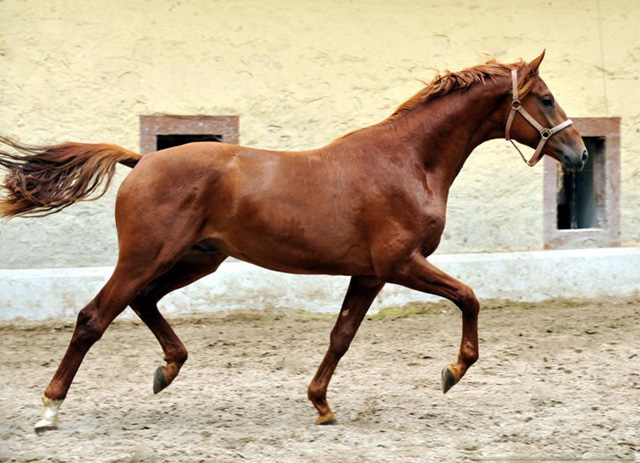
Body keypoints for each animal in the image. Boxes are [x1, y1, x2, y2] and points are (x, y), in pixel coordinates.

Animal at [0, 52, 588, 434]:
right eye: (546, 98)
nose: (579, 153)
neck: (407, 161)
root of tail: (143, 160)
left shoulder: (369, 273)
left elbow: (341, 336)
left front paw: (321, 404)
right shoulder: (400, 263)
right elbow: (469, 297)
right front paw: (453, 371)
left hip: (196, 260)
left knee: (143, 302)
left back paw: (167, 369)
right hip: (147, 257)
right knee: (93, 317)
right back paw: (50, 410)